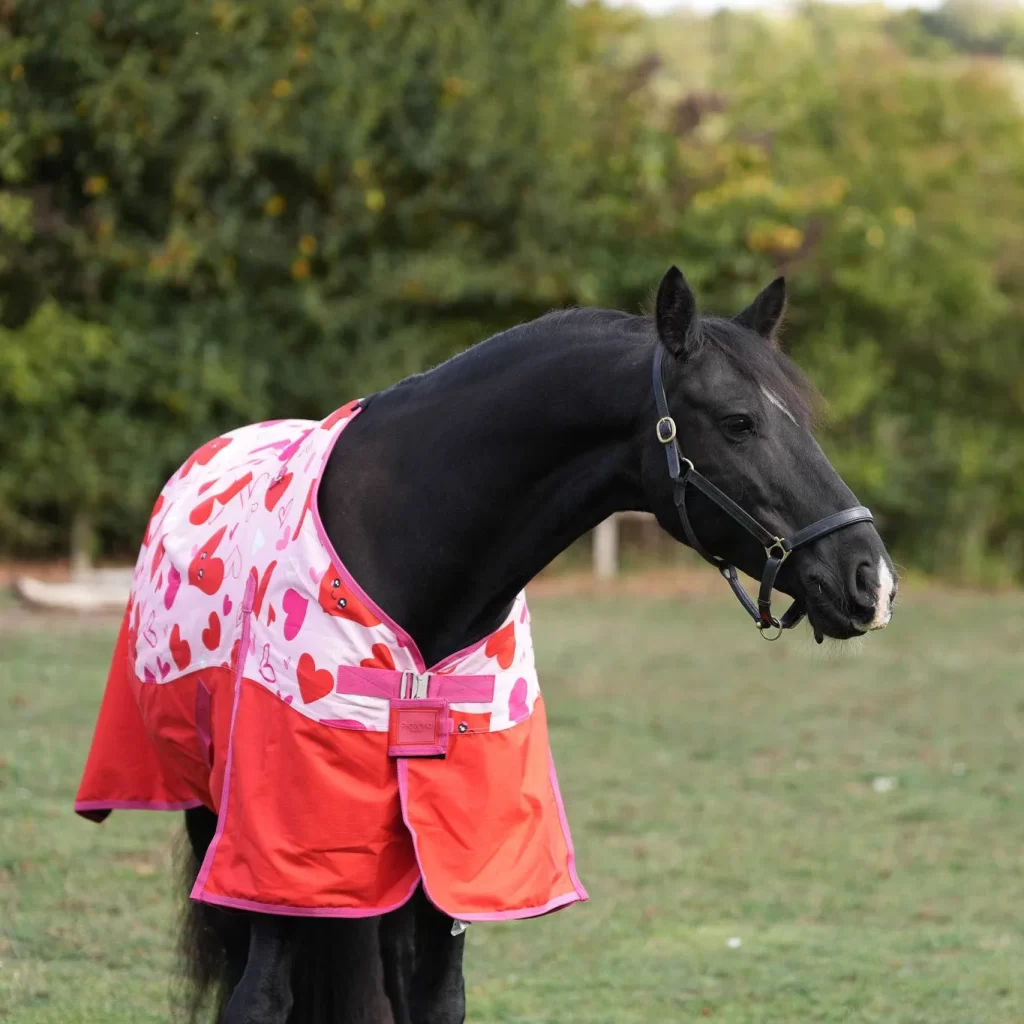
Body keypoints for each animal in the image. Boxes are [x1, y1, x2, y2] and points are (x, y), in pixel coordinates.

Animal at [76, 266, 896, 1023]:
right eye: (737, 422)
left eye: (804, 422)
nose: (872, 579)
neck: (410, 549)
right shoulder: (280, 856)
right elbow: (258, 999)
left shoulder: (453, 858)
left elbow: (438, 1001)